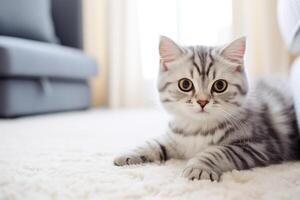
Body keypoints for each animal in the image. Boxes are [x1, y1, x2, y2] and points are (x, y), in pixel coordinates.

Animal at [113, 35, 300, 181]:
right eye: (185, 84)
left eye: (220, 86)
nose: (202, 101)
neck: (197, 130)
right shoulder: (175, 139)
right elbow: (153, 144)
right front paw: (128, 154)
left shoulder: (258, 145)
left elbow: (217, 152)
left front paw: (199, 168)